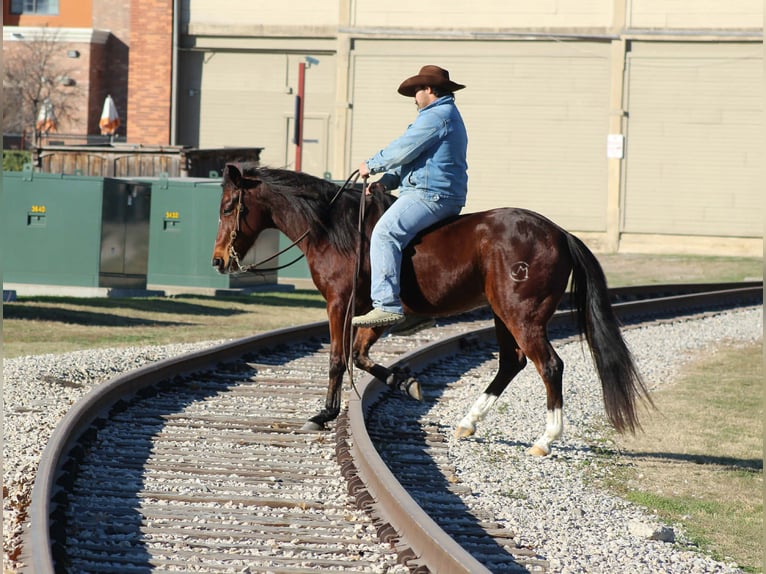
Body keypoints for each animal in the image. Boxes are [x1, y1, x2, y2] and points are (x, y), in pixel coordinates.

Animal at [212, 164, 652, 456]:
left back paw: (545, 439)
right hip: (502, 314)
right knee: (511, 362)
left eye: (229, 206)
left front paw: (324, 413)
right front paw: (404, 382)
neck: (334, 229)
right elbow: (360, 354)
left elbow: (338, 358)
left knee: (549, 365)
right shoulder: (375, 312)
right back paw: (468, 422)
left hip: (522, 316)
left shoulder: (339, 303)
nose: (218, 260)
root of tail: (558, 232)